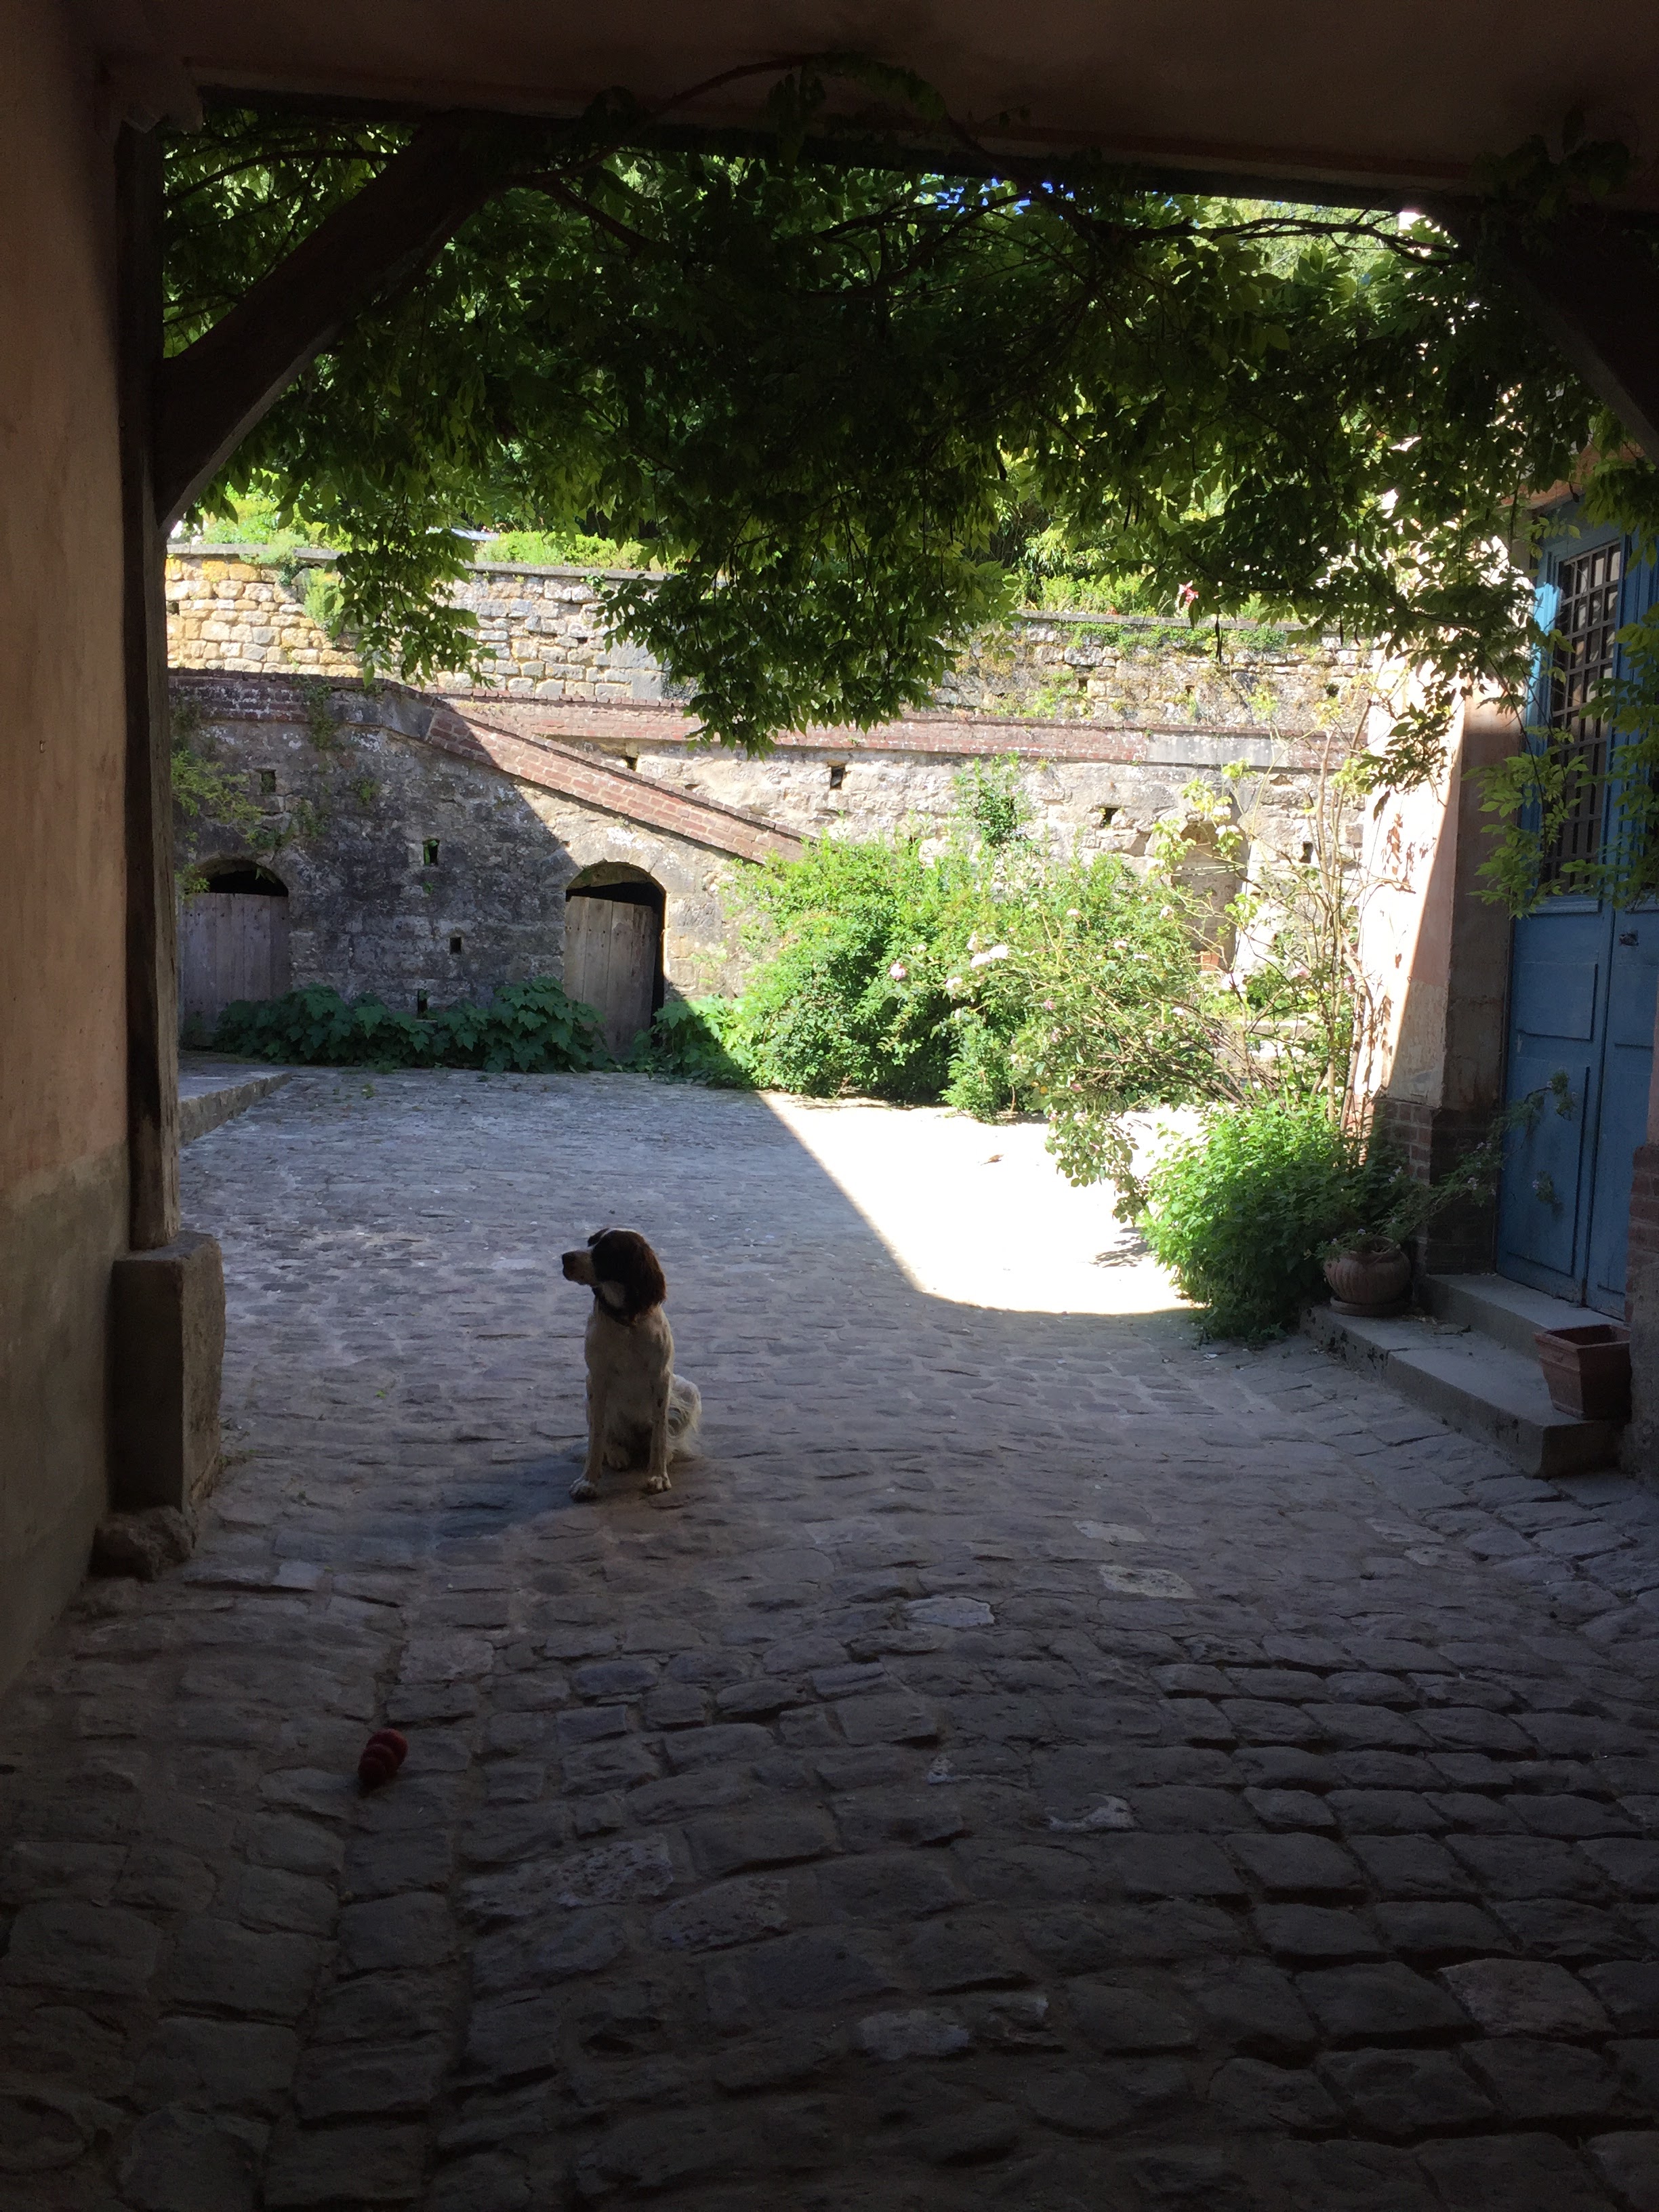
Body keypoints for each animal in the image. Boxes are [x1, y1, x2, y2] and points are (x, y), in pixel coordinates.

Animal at [560, 1229, 700, 1500]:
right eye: (590, 1242)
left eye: (607, 1249)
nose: (565, 1257)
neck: (626, 1321)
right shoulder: (596, 1379)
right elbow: (596, 1436)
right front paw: (588, 1481)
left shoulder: (661, 1378)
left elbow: (659, 1433)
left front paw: (658, 1476)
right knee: (610, 1437)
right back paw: (617, 1454)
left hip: (688, 1388)